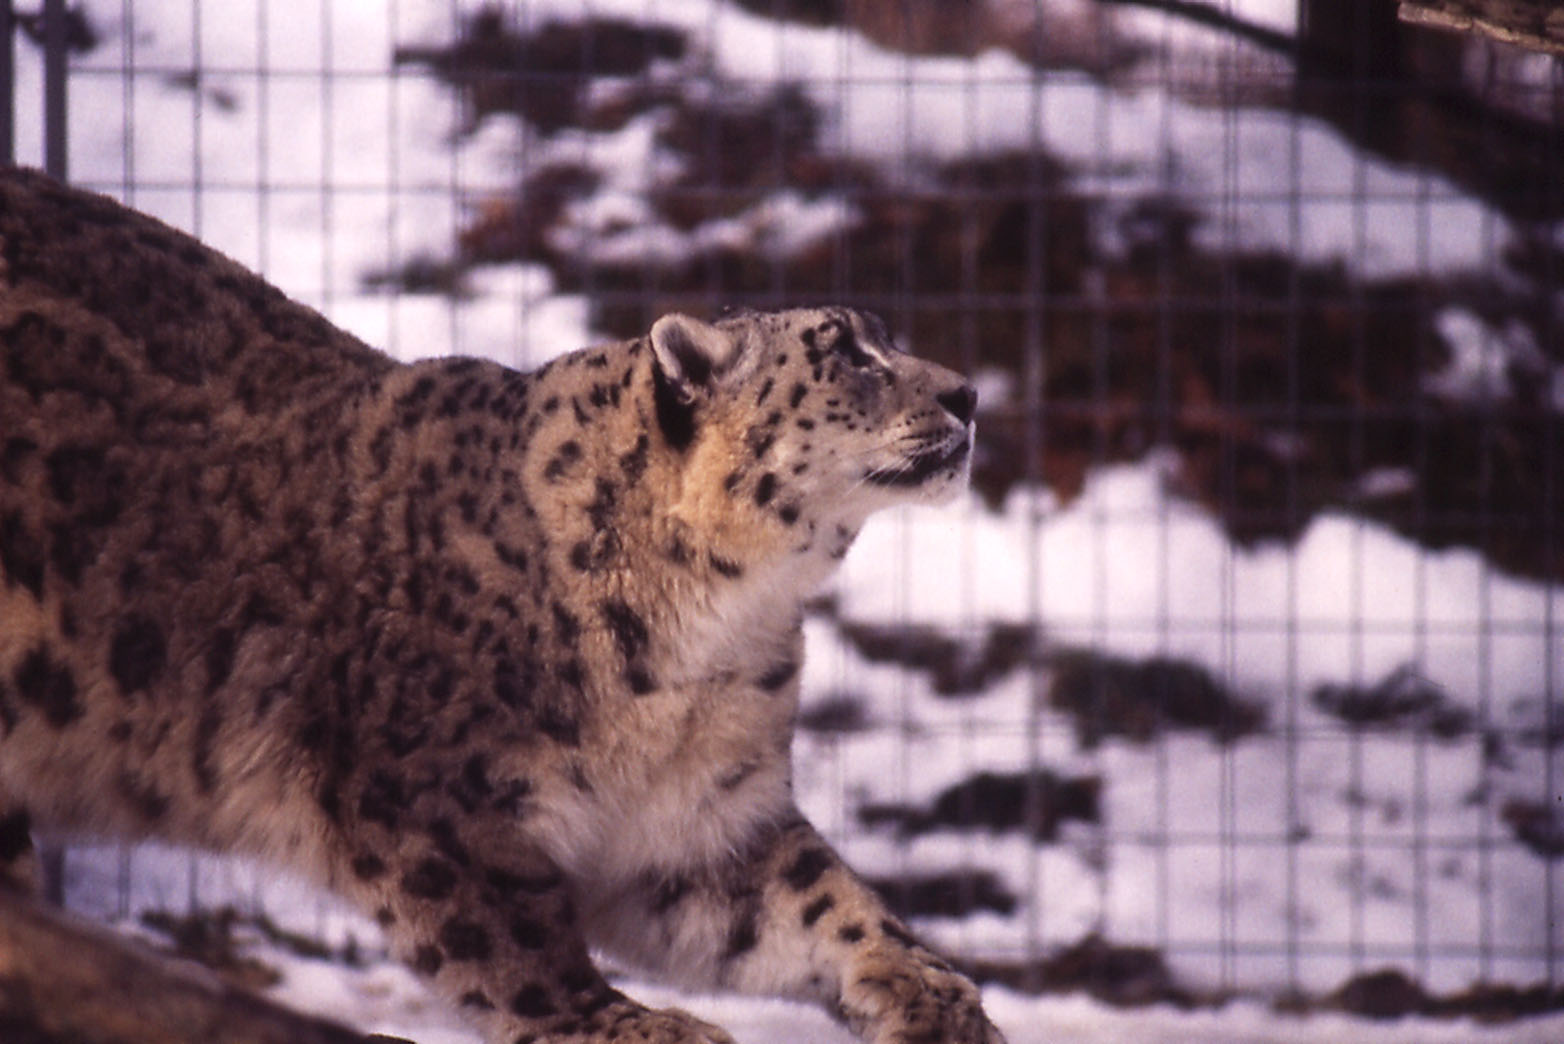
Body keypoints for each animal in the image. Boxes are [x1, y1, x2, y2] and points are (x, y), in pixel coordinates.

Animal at [0, 167, 1001, 1044]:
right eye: (848, 354)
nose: (968, 392)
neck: (721, 634)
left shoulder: (697, 825)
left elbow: (817, 904)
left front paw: (933, 996)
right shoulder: (434, 798)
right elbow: (510, 938)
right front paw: (629, 1025)